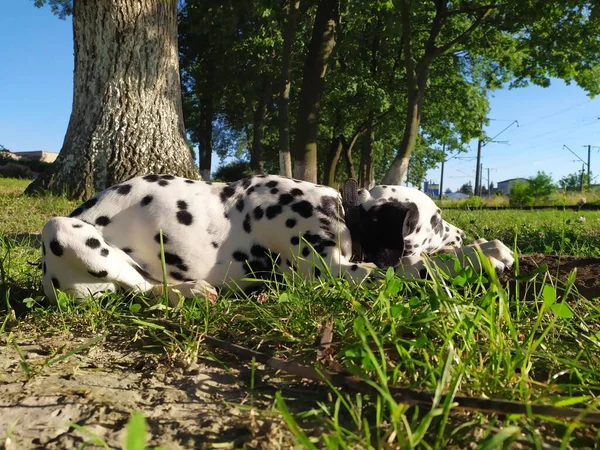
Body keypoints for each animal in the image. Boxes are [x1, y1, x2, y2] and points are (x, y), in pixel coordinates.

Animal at [39, 174, 512, 304]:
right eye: (437, 220)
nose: (462, 233)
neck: (339, 214)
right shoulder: (327, 273)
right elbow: (412, 268)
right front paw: (482, 253)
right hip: (61, 231)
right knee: (142, 287)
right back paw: (188, 292)